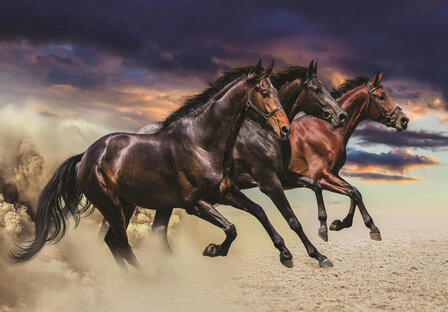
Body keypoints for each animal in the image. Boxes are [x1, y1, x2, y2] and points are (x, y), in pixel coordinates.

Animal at [11, 61, 300, 270]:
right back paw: (147, 281)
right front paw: (213, 250)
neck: (202, 143)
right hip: (111, 205)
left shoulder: (226, 193)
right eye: (264, 92)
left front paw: (285, 254)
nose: (285, 129)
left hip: (125, 204)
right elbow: (231, 228)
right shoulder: (196, 204)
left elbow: (259, 212)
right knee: (122, 244)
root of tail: (85, 156)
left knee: (112, 242)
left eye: (276, 91)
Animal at [100, 61, 346, 268]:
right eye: (316, 89)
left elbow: (313, 185)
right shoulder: (269, 181)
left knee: (153, 231)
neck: (260, 131)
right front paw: (316, 255)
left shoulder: (282, 175)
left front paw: (322, 231)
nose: (341, 116)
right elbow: (292, 220)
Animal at [288, 72, 410, 240]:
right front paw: (372, 227)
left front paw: (341, 223)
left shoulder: (332, 173)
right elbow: (354, 192)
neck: (327, 129)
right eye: (381, 97)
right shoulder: (320, 175)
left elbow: (353, 191)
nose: (404, 120)